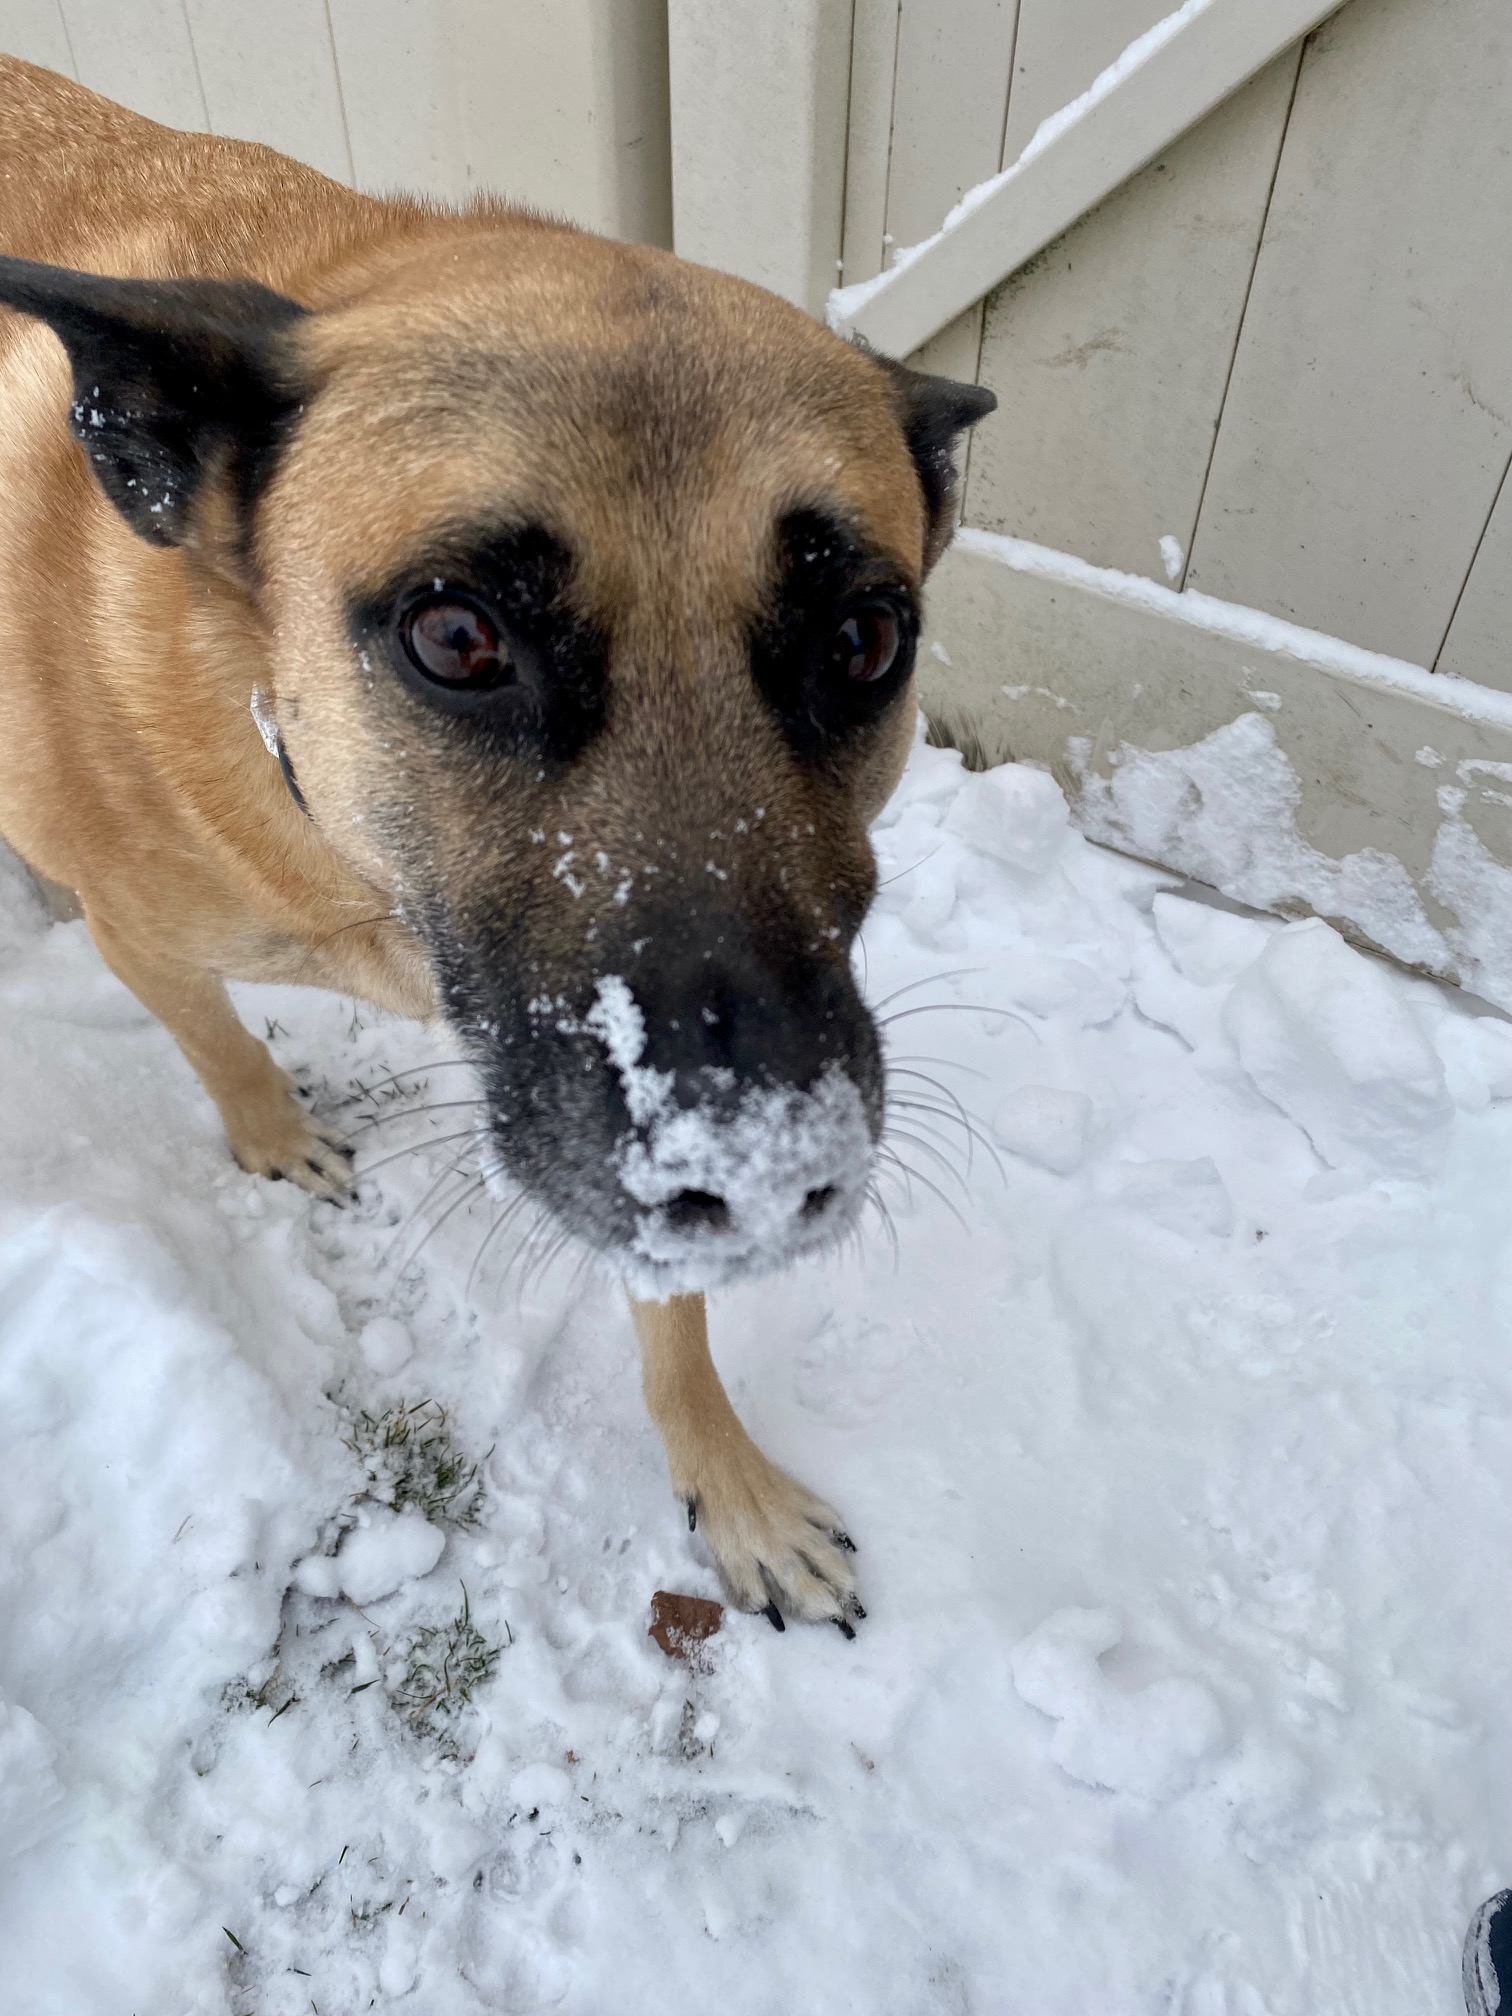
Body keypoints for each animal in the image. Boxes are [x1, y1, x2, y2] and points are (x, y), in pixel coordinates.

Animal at [0, 58, 999, 1636]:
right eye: (458, 638)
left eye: (865, 638)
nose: (766, 1171)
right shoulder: (151, 937)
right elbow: (217, 1041)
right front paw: (272, 1135)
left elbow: (671, 1309)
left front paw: (729, 1482)